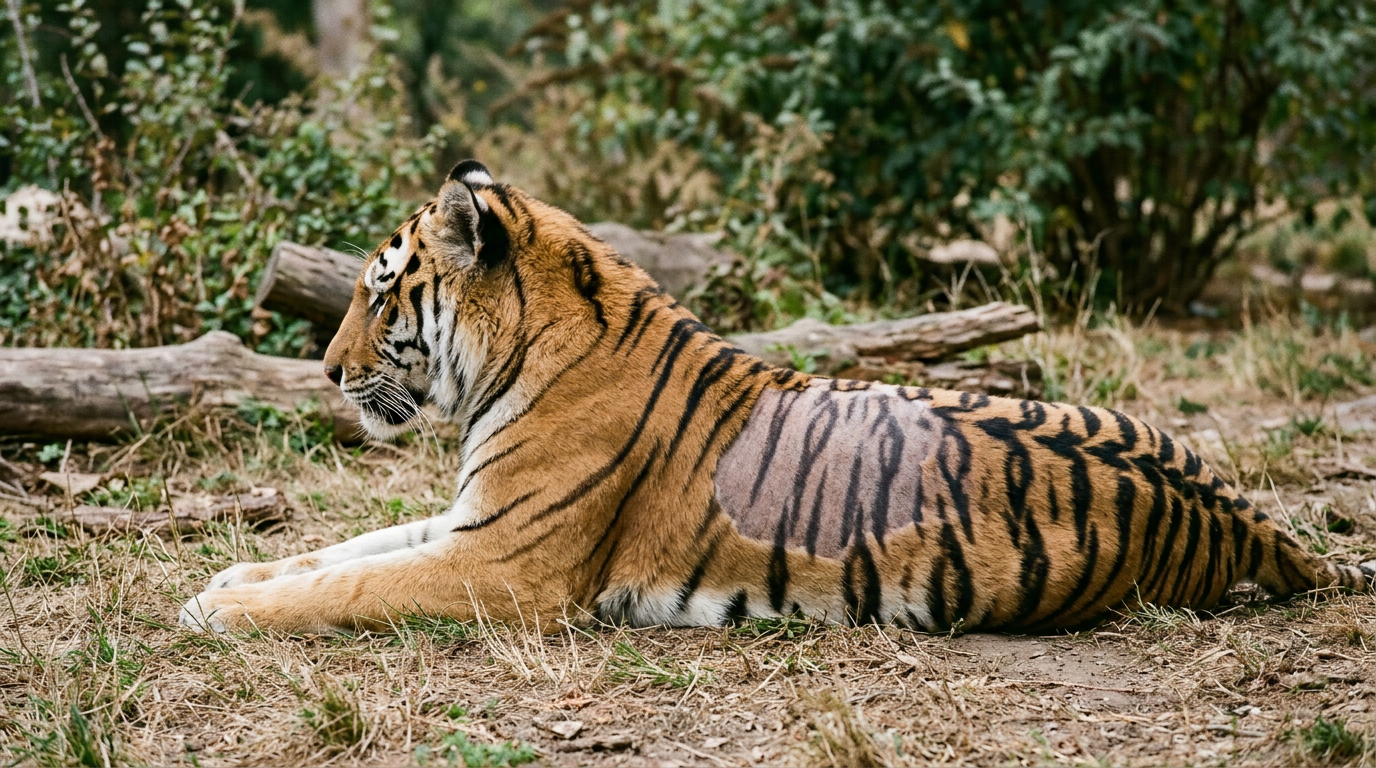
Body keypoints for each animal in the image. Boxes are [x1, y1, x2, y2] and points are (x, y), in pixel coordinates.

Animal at [179, 161, 1376, 635]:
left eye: (381, 292)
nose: (328, 372)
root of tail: (1242, 517)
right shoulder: (473, 520)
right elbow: (346, 549)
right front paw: (232, 576)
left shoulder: (507, 564)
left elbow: (351, 586)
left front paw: (222, 609)